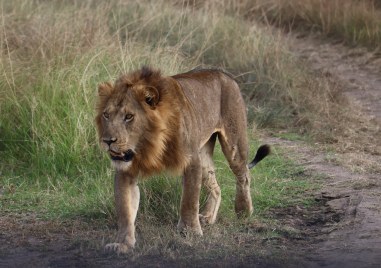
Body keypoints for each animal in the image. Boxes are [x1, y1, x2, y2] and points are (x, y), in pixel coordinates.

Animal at [95, 66, 270, 252]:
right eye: (106, 115)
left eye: (129, 116)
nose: (108, 141)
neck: (150, 145)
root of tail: (223, 73)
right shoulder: (126, 171)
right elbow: (125, 210)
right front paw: (122, 243)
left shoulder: (191, 161)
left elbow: (189, 200)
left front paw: (190, 231)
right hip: (203, 155)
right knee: (216, 186)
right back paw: (208, 217)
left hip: (234, 144)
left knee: (244, 175)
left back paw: (244, 211)